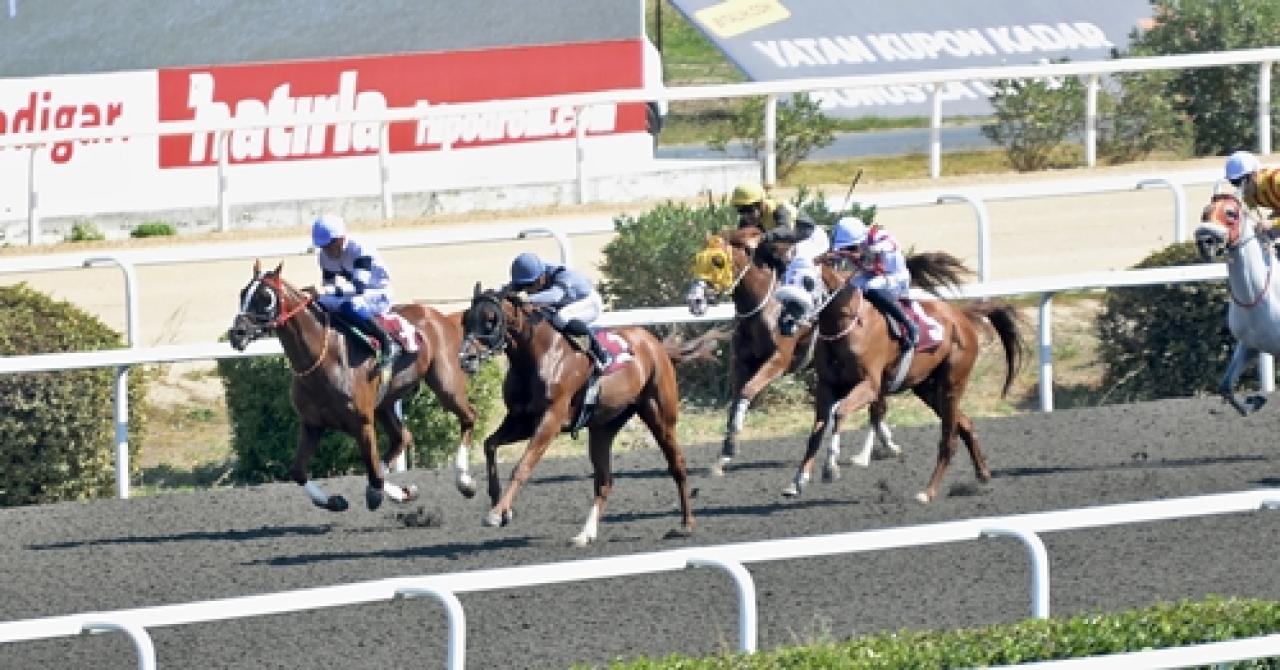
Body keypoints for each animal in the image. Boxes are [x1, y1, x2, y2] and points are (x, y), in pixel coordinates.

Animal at [225, 260, 481, 512]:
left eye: (266, 298)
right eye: (242, 294)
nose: (237, 333)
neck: (323, 360)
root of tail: (445, 318)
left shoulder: (362, 422)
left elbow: (374, 473)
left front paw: (382, 493)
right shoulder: (311, 424)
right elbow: (298, 471)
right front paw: (334, 501)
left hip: (446, 385)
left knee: (468, 416)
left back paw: (464, 481)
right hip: (385, 403)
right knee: (402, 437)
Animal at [788, 251, 1029, 502]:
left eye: (808, 281)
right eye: (786, 276)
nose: (787, 319)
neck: (846, 326)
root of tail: (961, 315)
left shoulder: (870, 386)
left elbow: (841, 412)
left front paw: (830, 468)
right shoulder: (827, 386)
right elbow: (817, 431)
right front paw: (798, 480)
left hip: (952, 384)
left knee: (949, 439)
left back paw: (928, 492)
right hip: (928, 389)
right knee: (965, 424)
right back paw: (982, 473)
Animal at [1187, 190, 1280, 417]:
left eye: (1231, 213)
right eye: (1205, 212)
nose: (1205, 242)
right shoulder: (1249, 345)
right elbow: (1226, 386)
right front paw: (1254, 402)